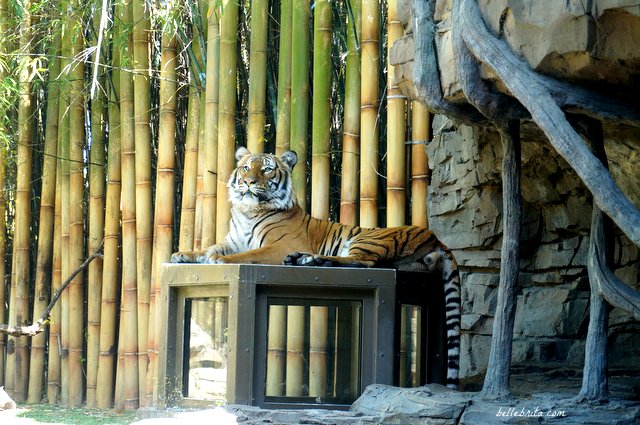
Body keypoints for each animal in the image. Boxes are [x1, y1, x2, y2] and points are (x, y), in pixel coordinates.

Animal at [170, 147, 460, 388]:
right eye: (246, 168)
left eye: (266, 169)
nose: (249, 182)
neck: (248, 212)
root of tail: (437, 238)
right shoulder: (230, 242)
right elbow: (206, 249)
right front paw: (182, 254)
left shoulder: (278, 246)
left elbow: (248, 254)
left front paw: (221, 262)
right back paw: (304, 259)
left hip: (367, 238)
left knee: (362, 261)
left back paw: (314, 260)